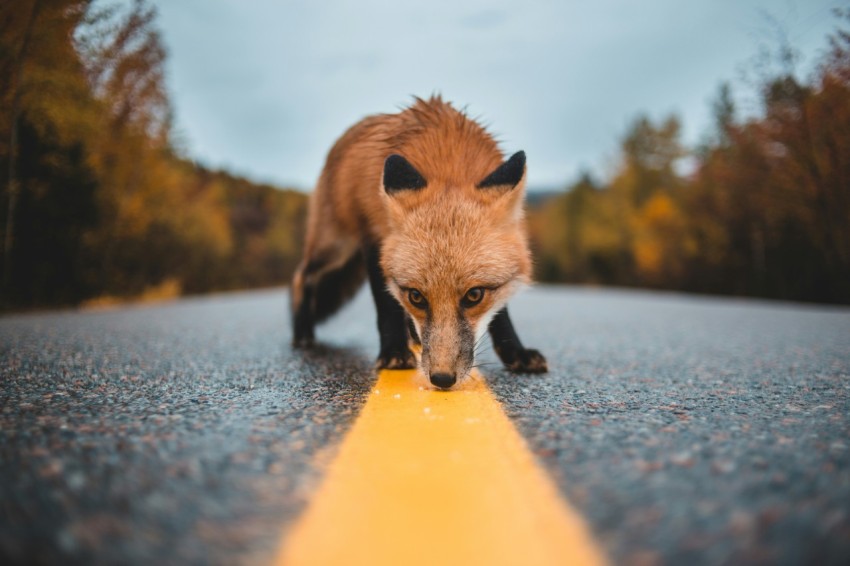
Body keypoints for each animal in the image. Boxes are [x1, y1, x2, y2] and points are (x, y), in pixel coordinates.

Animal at [290, 97, 544, 390]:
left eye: (474, 295)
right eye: (416, 297)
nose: (442, 379)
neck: (447, 159)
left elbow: (500, 314)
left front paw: (515, 352)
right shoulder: (374, 239)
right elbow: (386, 304)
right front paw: (393, 352)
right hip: (335, 247)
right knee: (301, 276)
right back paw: (302, 331)